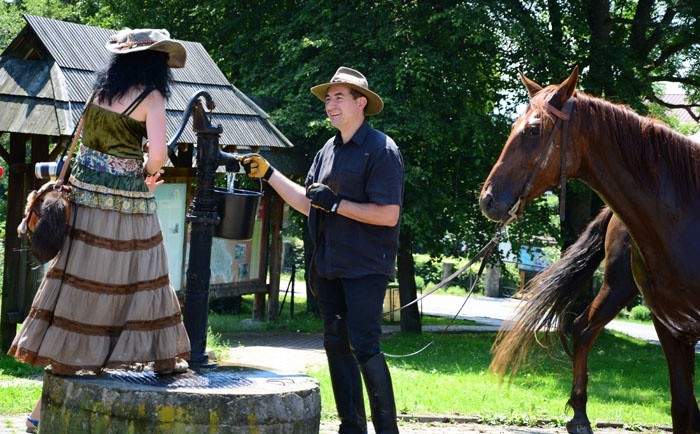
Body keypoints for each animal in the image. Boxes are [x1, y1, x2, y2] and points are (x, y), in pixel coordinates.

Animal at [482, 65, 700, 434]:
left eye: (534, 130)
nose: (488, 199)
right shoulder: (672, 327)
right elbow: (683, 408)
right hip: (617, 285)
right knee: (583, 327)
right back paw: (580, 415)